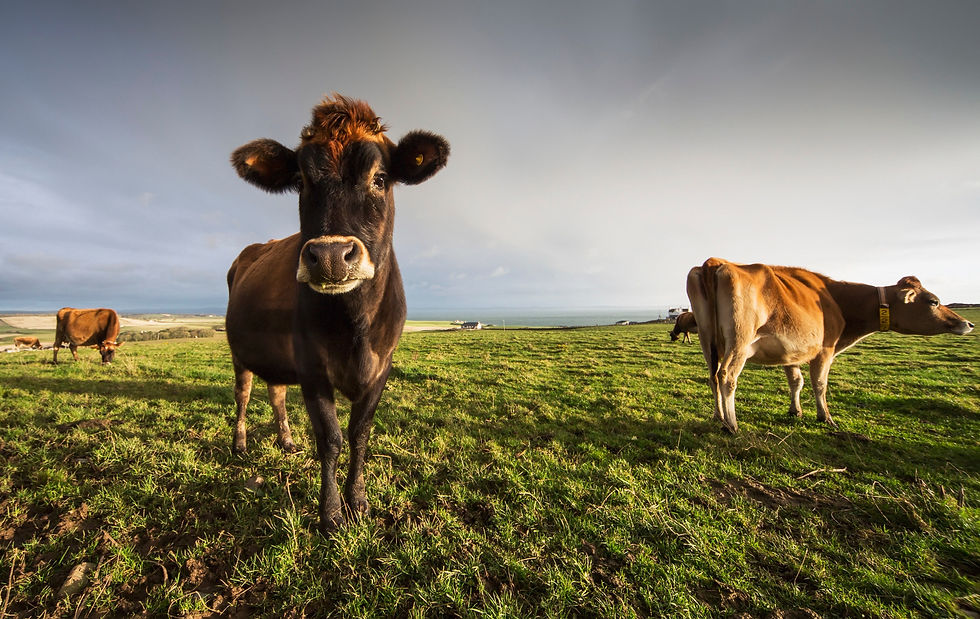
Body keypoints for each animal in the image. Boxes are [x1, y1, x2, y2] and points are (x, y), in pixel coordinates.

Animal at [226, 94, 449, 531]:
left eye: (380, 178)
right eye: (301, 181)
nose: (329, 256)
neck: (355, 327)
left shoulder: (382, 367)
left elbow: (359, 433)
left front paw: (357, 501)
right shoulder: (312, 367)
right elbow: (330, 439)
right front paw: (330, 513)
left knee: (276, 392)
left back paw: (286, 440)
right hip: (239, 353)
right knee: (243, 394)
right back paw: (240, 443)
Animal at [686, 258, 974, 433]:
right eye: (934, 302)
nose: (968, 323)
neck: (837, 300)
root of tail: (716, 262)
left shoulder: (790, 352)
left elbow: (797, 381)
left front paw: (796, 411)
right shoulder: (825, 350)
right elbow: (820, 384)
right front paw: (825, 417)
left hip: (706, 337)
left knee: (713, 376)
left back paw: (718, 416)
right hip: (740, 340)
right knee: (727, 376)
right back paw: (731, 424)